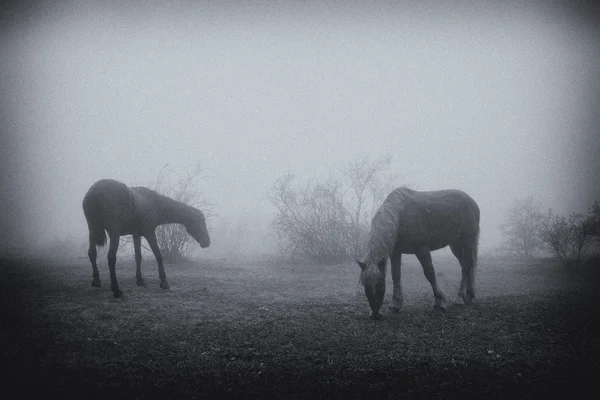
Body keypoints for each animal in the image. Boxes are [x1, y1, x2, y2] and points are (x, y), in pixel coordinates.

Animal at [358, 186, 480, 320]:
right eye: (363, 284)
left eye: (380, 283)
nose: (375, 314)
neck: (400, 215)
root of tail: (471, 201)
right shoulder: (395, 252)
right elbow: (396, 275)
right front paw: (395, 305)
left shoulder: (422, 250)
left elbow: (430, 274)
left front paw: (439, 302)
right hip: (455, 245)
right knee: (467, 264)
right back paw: (470, 294)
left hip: (468, 241)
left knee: (466, 266)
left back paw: (459, 297)